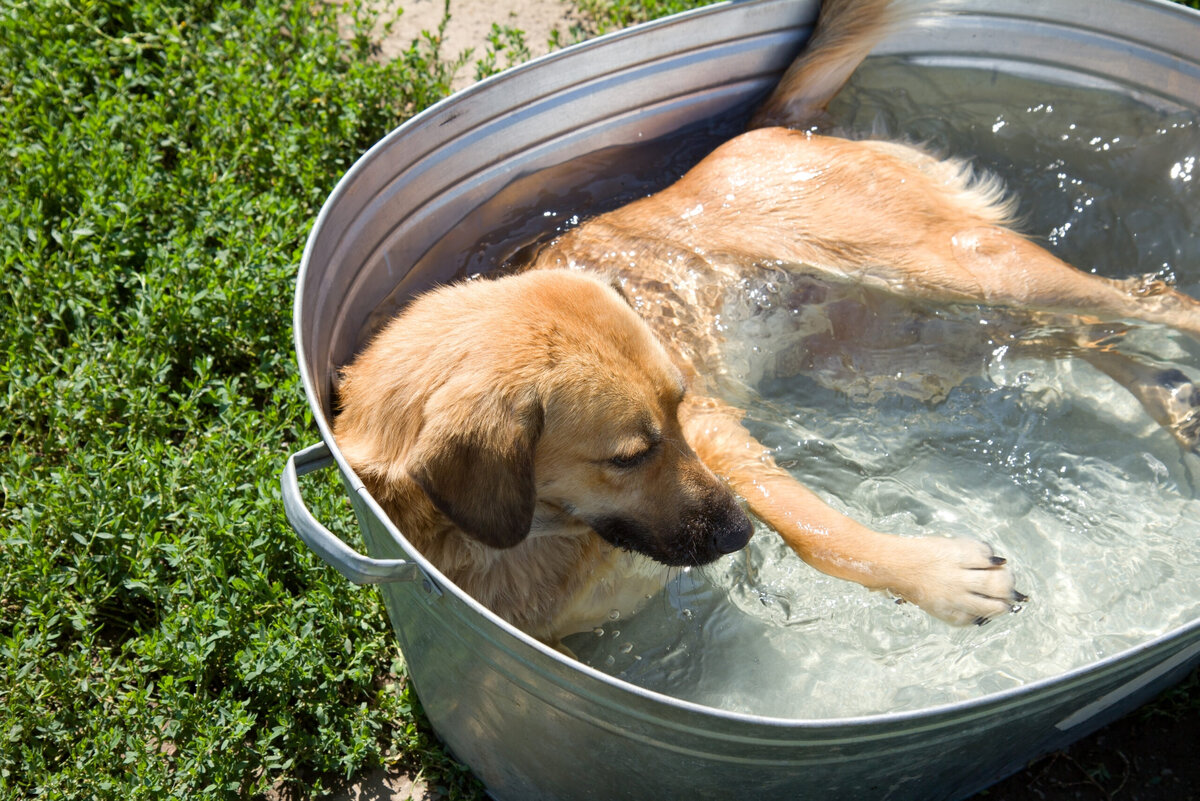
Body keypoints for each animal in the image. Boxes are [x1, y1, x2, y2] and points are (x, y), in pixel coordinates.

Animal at [333, 0, 1200, 647]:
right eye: (628, 456)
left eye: (676, 410)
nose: (736, 536)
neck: (548, 537)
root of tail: (763, 128)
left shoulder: (719, 439)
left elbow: (813, 527)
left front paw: (940, 581)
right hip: (900, 345)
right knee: (1074, 333)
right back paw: (1170, 397)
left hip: (955, 266)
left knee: (1149, 297)